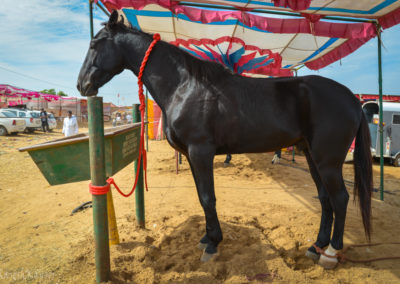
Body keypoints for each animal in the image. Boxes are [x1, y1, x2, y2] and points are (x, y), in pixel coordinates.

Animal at [77, 11, 372, 268]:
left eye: (94, 44)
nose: (82, 85)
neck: (185, 87)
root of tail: (352, 99)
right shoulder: (192, 156)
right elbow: (201, 197)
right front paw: (207, 237)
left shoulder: (201, 152)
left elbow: (208, 198)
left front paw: (212, 245)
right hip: (311, 155)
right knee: (325, 198)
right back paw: (316, 246)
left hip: (328, 161)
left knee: (340, 198)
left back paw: (331, 253)